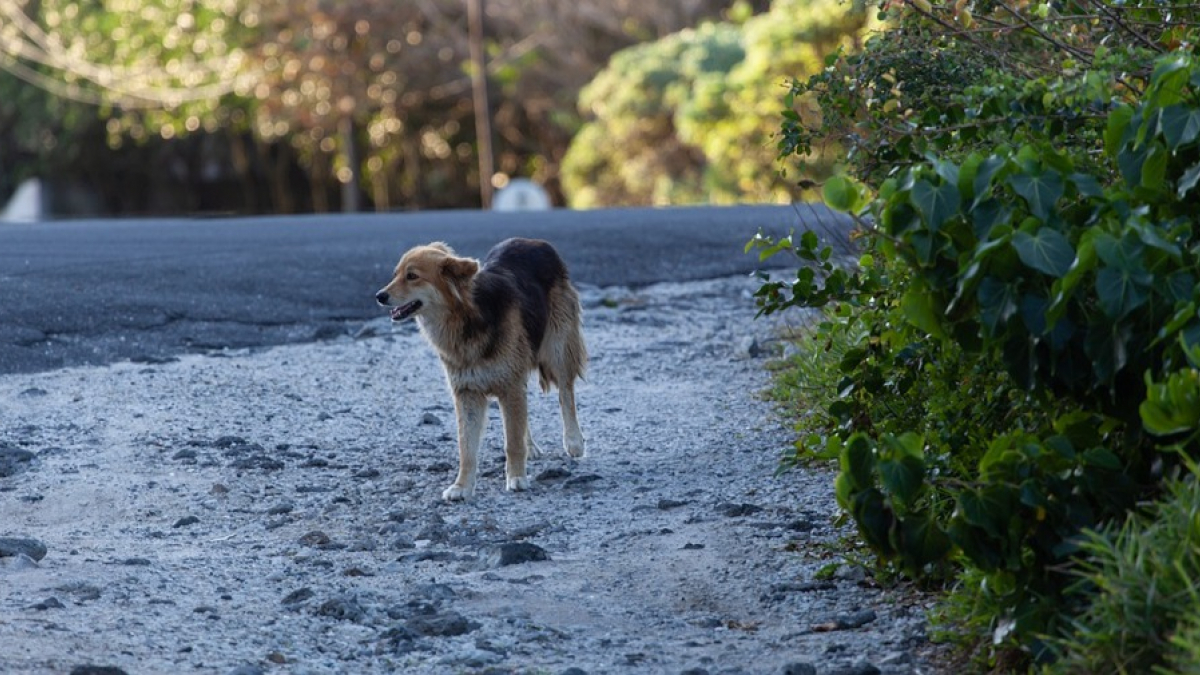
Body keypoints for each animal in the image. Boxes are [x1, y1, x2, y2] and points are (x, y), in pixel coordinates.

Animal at [369, 237, 585, 499]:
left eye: (412, 276)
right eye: (396, 274)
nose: (379, 296)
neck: (466, 317)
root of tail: (534, 241)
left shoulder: (509, 384)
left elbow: (512, 441)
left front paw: (517, 477)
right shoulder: (468, 392)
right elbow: (467, 447)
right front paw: (462, 486)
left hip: (557, 347)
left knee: (565, 393)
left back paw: (573, 441)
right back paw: (531, 446)